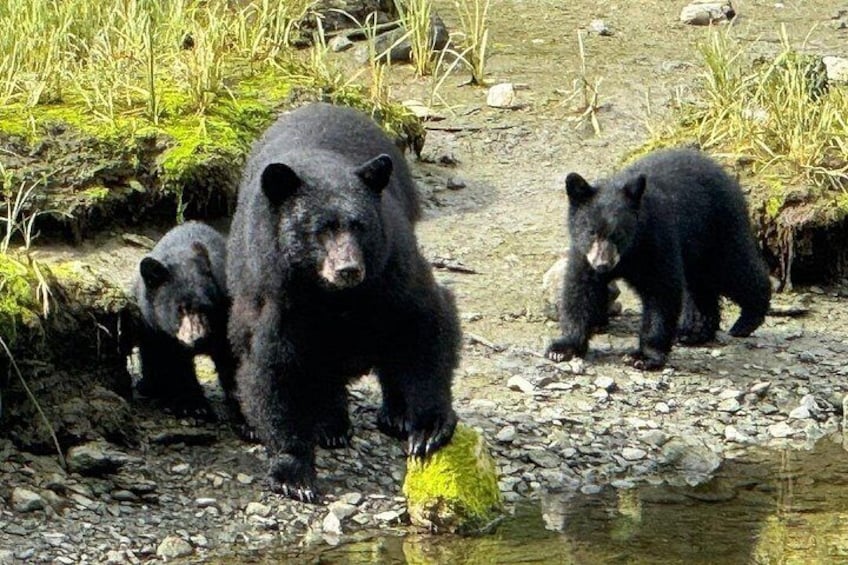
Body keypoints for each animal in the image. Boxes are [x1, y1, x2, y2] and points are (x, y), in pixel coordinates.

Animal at [133, 221, 240, 421]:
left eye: (205, 307)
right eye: (180, 309)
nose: (198, 338)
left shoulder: (225, 313)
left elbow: (232, 356)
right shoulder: (158, 330)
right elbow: (173, 362)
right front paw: (193, 407)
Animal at [226, 102, 461, 502]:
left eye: (359, 225)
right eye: (320, 230)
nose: (348, 269)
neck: (331, 294)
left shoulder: (389, 267)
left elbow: (423, 321)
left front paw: (428, 428)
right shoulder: (277, 293)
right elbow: (272, 364)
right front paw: (294, 473)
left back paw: (393, 414)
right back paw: (331, 423)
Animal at [545, 148, 771, 370]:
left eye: (619, 234)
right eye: (591, 232)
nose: (603, 265)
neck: (629, 253)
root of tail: (723, 172)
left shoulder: (655, 241)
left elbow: (661, 292)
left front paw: (643, 356)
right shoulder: (584, 254)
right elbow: (579, 291)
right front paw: (562, 348)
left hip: (718, 227)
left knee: (733, 269)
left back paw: (747, 319)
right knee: (701, 285)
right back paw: (694, 332)